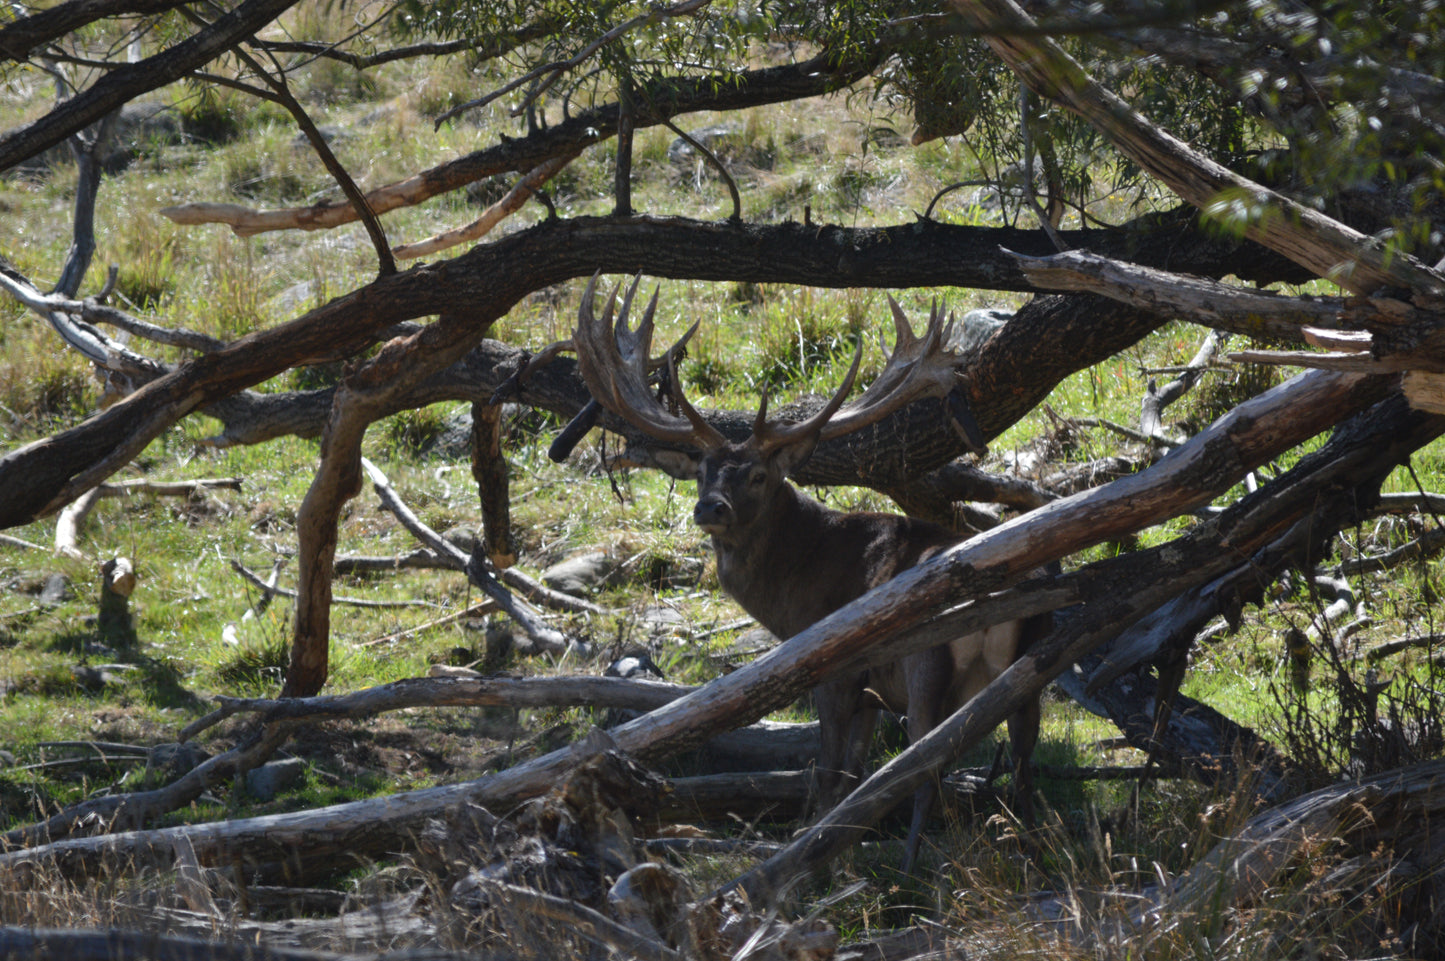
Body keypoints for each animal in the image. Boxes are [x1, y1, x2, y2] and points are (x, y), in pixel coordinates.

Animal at [571, 273, 1046, 871]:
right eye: (702, 471)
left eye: (757, 474)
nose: (710, 508)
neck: (795, 588)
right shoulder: (871, 693)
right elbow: (854, 774)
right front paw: (842, 844)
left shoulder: (835, 669)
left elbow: (829, 771)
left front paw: (814, 847)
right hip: (1032, 664)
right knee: (1024, 768)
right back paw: (1033, 848)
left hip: (928, 661)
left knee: (926, 767)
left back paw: (913, 868)